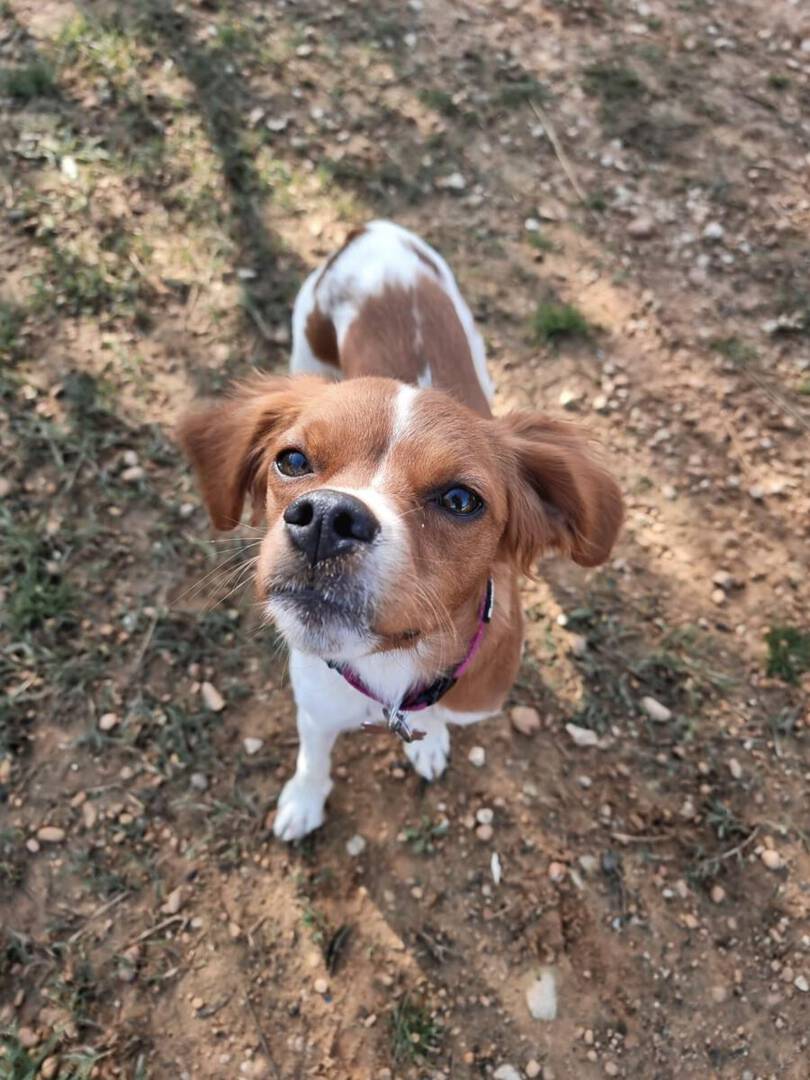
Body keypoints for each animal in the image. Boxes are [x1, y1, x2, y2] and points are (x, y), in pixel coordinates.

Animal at [178, 220, 623, 841]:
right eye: (292, 460)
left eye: (460, 500)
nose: (326, 519)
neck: (390, 667)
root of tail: (376, 230)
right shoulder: (315, 704)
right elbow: (313, 757)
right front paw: (304, 801)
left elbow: (437, 720)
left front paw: (428, 743)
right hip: (307, 341)